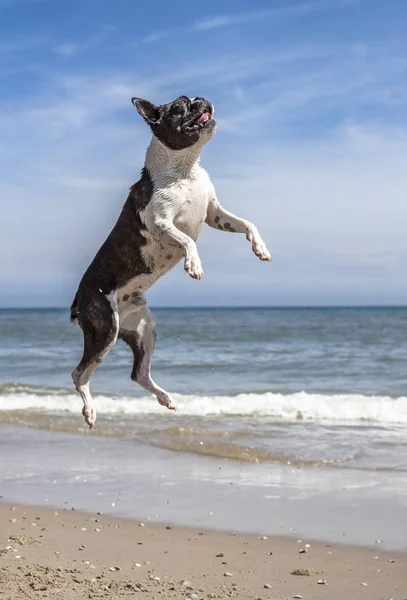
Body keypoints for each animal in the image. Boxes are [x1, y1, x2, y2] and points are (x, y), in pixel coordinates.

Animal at [71, 95, 272, 426]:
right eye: (180, 106)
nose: (200, 99)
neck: (185, 170)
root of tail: (78, 301)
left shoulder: (215, 214)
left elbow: (246, 223)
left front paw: (260, 248)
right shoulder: (160, 223)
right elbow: (188, 240)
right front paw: (194, 265)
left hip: (144, 328)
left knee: (138, 373)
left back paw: (165, 397)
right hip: (105, 328)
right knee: (79, 374)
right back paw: (89, 411)